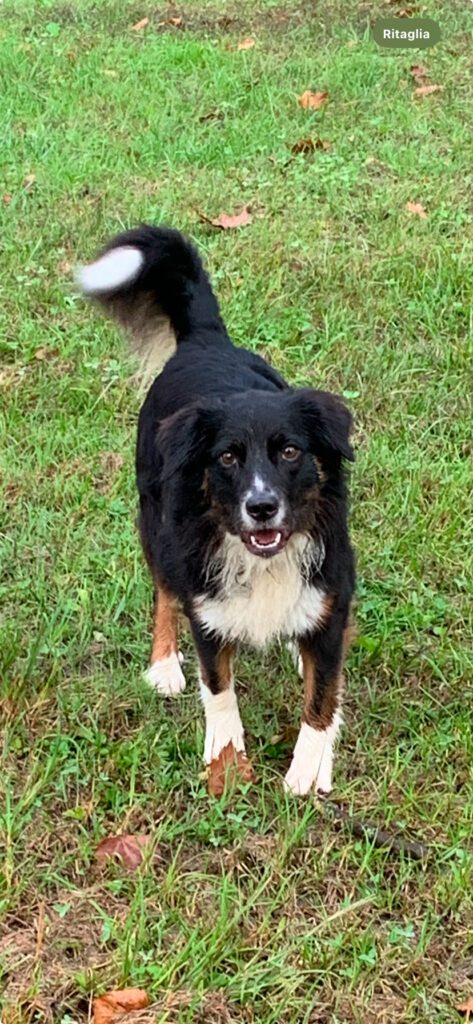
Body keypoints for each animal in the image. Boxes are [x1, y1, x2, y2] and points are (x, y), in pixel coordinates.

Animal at [76, 228, 354, 794]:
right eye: (227, 457)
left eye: (290, 451)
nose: (262, 507)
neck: (264, 561)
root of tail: (207, 340)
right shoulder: (206, 607)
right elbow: (218, 686)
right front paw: (226, 762)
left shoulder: (333, 595)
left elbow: (322, 696)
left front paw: (307, 770)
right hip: (156, 524)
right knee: (164, 593)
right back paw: (163, 664)